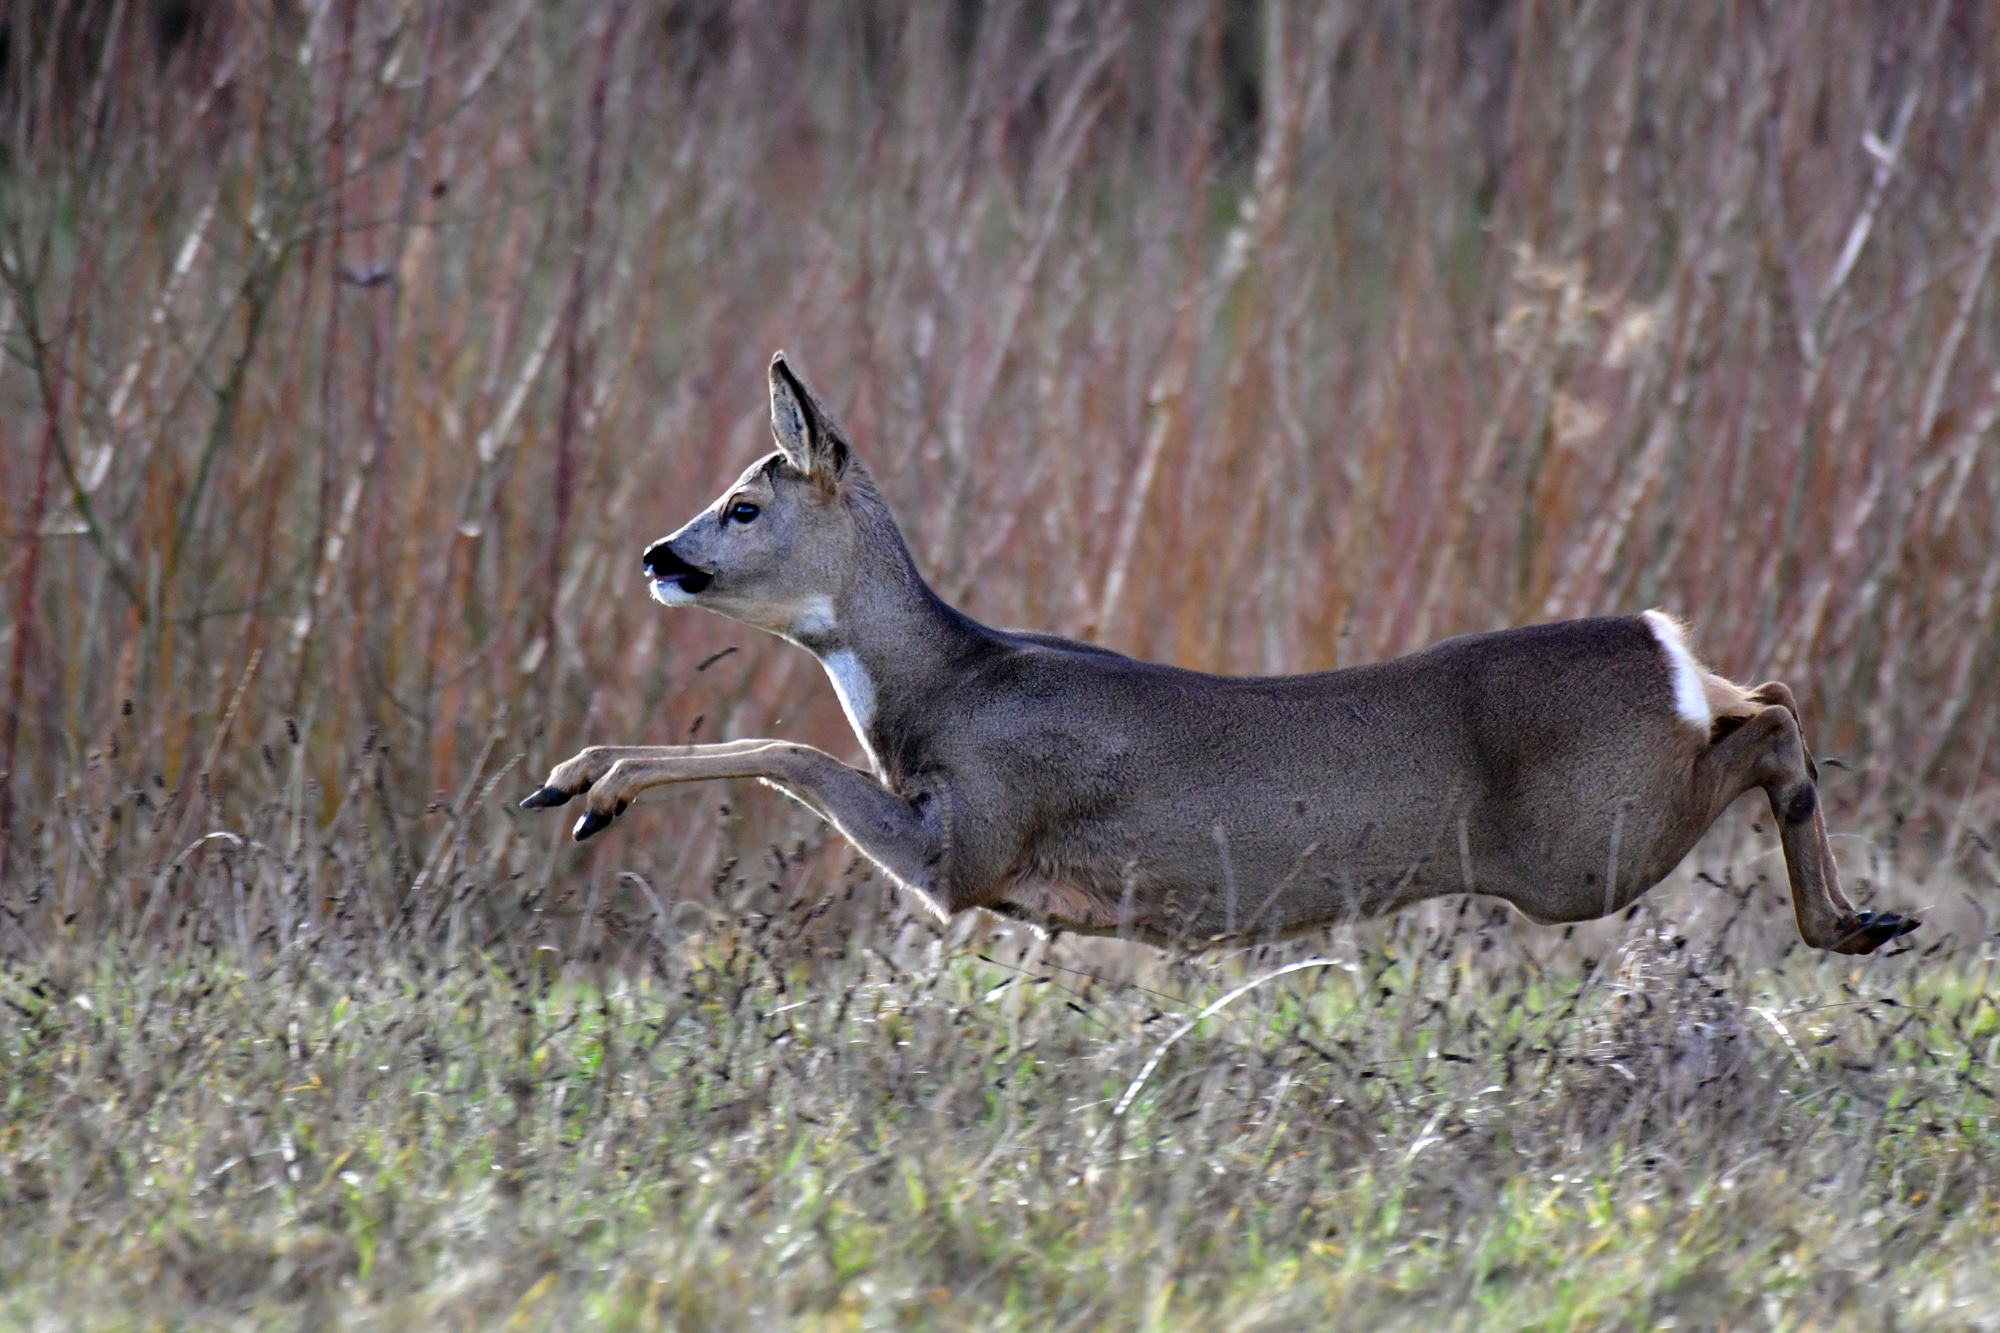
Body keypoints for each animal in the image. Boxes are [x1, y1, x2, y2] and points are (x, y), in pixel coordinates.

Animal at [522, 353, 1919, 956]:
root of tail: (1659, 643)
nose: (656, 553)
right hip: (1617, 806)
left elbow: (783, 749)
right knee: (1770, 689)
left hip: (1587, 842)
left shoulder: (965, 846)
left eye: (742, 506)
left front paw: (588, 787)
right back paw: (1858, 918)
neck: (941, 685)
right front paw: (573, 778)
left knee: (1768, 725)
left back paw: (1853, 920)